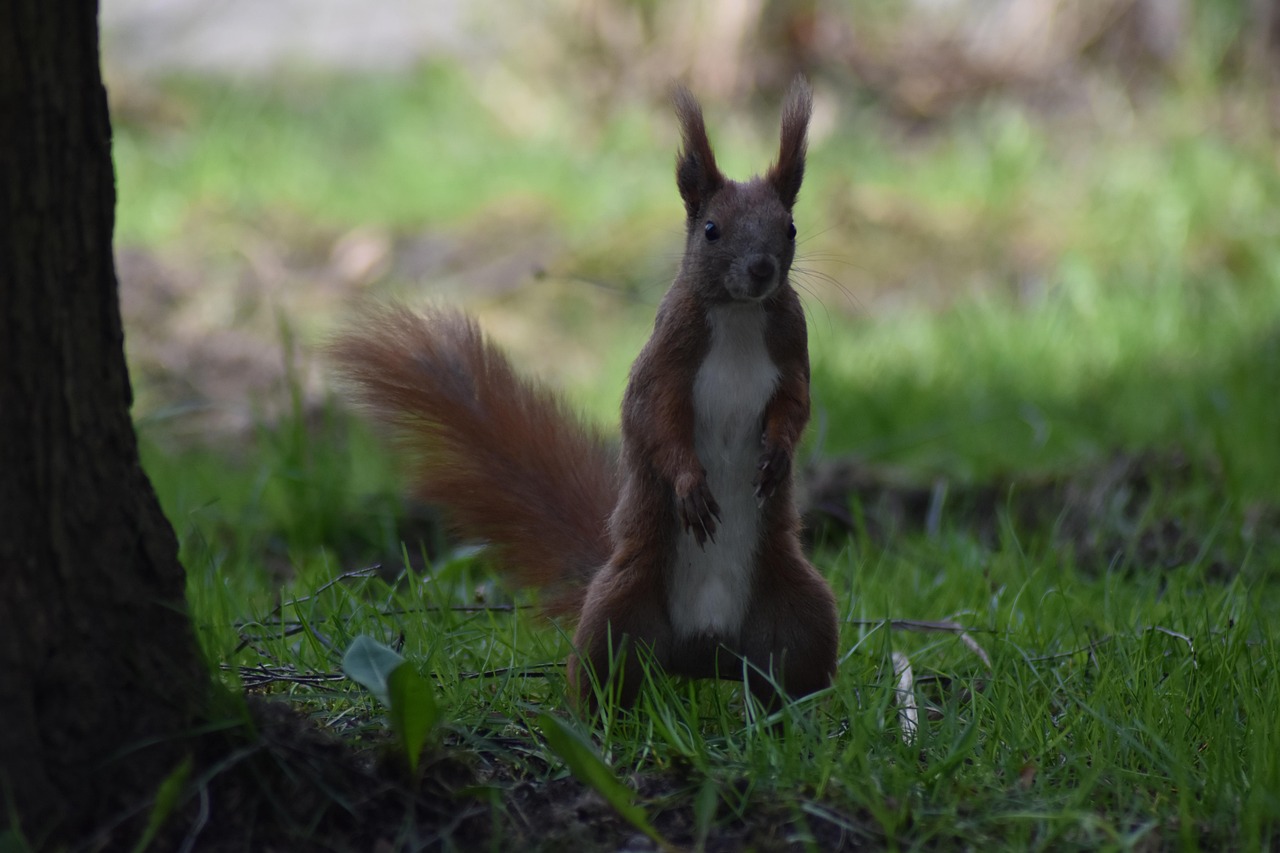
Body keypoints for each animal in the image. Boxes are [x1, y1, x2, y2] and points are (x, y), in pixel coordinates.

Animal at [330, 78, 839, 712]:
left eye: (789, 228)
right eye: (711, 229)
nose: (763, 269)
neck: (740, 317)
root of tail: (706, 654)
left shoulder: (791, 354)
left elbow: (794, 406)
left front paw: (777, 456)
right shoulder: (665, 366)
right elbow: (658, 425)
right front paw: (691, 486)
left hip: (800, 610)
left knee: (790, 676)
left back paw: (798, 719)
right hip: (618, 611)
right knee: (599, 674)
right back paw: (594, 721)